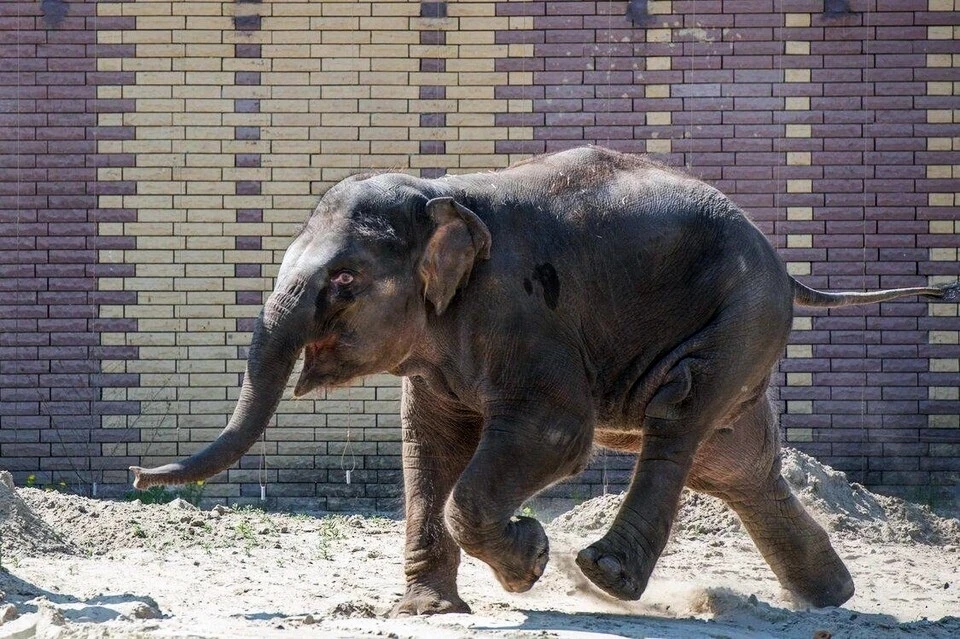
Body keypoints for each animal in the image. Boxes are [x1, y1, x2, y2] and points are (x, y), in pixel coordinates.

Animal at [129, 145, 960, 616]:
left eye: (343, 279)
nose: (137, 476)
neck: (443, 190)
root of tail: (787, 271)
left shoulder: (524, 315)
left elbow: (556, 434)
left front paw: (528, 561)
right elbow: (429, 444)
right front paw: (425, 611)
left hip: (740, 312)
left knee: (681, 417)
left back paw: (605, 575)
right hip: (745, 329)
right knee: (736, 462)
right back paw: (827, 599)